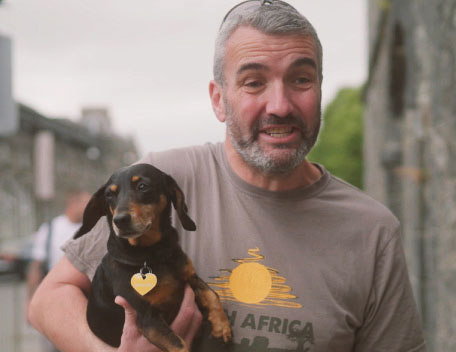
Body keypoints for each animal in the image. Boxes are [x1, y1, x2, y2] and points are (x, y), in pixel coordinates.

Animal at [75, 164, 233, 350]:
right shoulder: (147, 319)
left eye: (142, 186)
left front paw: (222, 327)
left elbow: (211, 295)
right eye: (109, 195)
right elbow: (178, 344)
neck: (153, 255)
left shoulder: (189, 276)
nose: (119, 220)